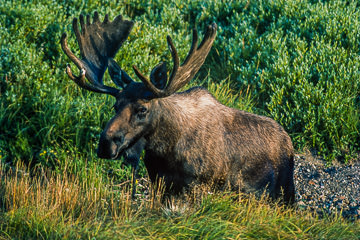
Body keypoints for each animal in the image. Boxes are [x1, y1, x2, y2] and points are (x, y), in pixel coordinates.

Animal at [59, 11, 296, 202]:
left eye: (142, 109)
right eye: (115, 106)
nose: (106, 145)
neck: (165, 148)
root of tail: (288, 140)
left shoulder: (197, 184)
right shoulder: (159, 181)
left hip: (284, 191)